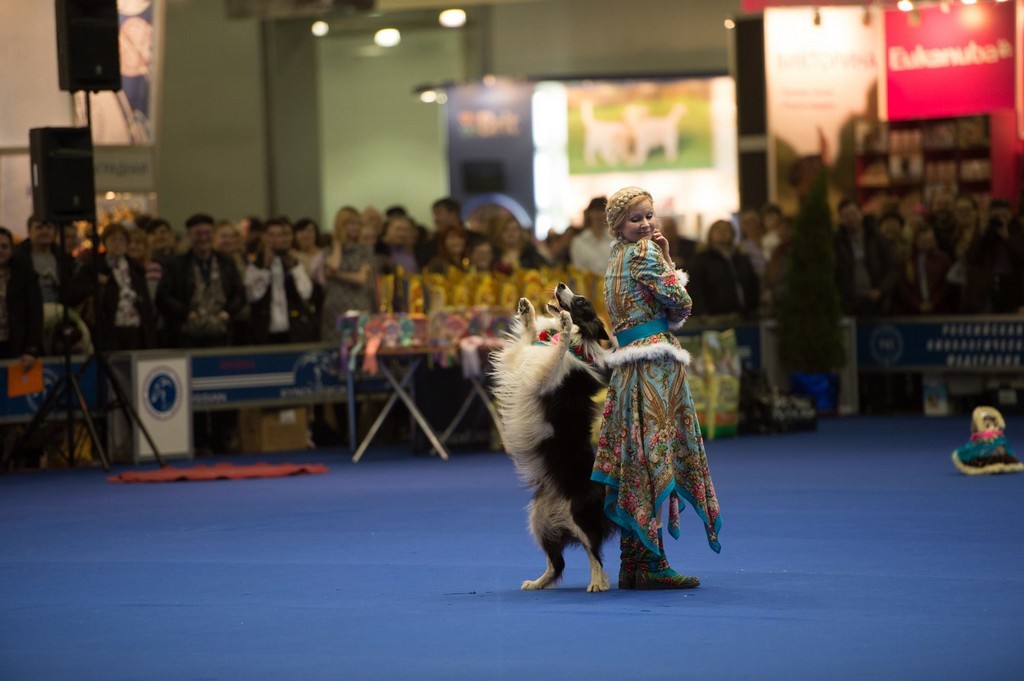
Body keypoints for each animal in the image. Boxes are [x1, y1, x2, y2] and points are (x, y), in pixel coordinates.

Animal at [489, 280, 614, 589]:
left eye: (581, 301)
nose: (560, 284)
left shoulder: (543, 378)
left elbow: (556, 353)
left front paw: (566, 326)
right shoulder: (521, 361)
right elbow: (526, 343)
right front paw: (528, 313)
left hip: (581, 516)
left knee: (594, 552)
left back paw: (597, 583)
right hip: (539, 519)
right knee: (557, 563)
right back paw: (537, 583)